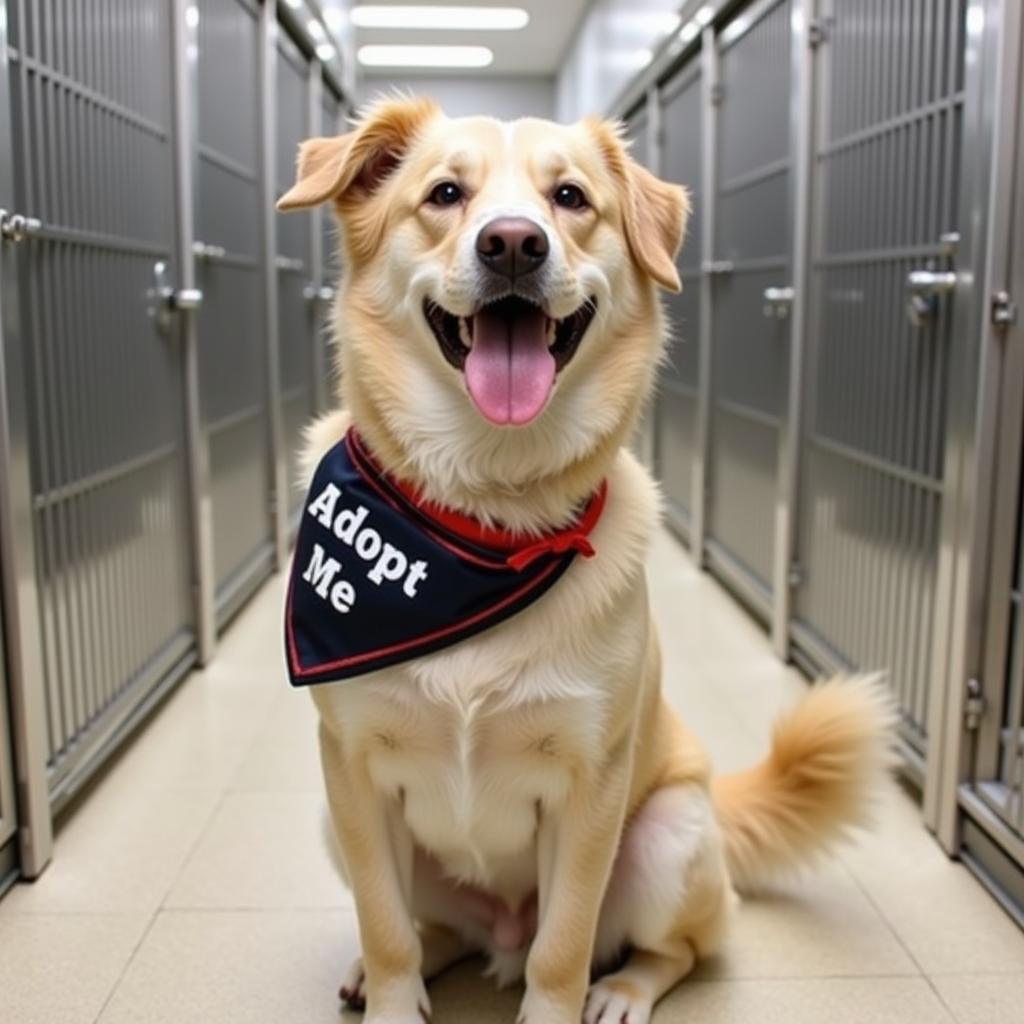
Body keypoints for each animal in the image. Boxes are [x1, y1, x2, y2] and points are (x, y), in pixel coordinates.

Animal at [276, 97, 892, 1024]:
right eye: (445, 193)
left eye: (569, 197)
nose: (513, 244)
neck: (484, 523)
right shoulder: (348, 770)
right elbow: (387, 929)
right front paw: (388, 995)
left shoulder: (590, 787)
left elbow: (563, 947)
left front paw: (562, 1003)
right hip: (339, 828)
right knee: (432, 931)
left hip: (668, 836)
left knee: (678, 947)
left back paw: (626, 991)